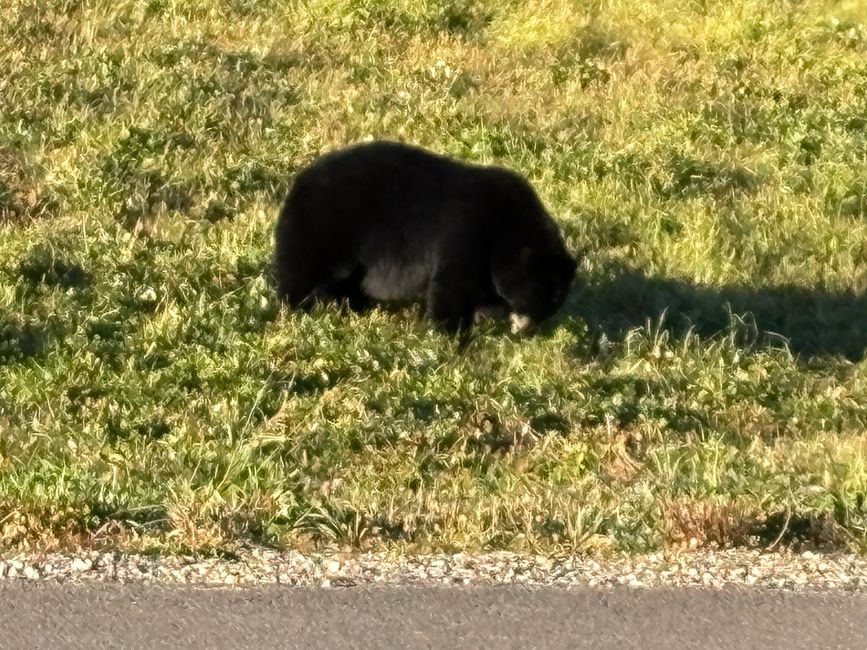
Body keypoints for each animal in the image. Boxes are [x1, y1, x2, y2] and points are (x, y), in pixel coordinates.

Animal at [273, 140, 576, 336]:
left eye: (556, 300)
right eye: (537, 293)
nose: (530, 328)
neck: (505, 228)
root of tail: (300, 180)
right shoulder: (465, 233)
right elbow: (451, 288)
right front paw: (450, 336)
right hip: (324, 228)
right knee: (300, 267)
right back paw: (296, 307)